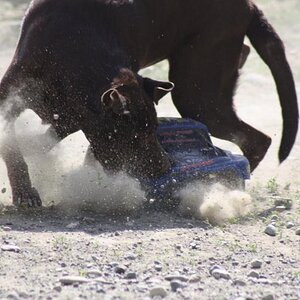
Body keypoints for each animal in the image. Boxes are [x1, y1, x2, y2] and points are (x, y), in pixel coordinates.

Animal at [0, 0, 296, 206]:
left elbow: (36, 143)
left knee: (257, 140)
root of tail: (249, 5)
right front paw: (25, 191)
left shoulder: (73, 118)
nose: (165, 169)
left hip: (198, 96)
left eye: (153, 130)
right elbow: (16, 146)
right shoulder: (12, 99)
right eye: (133, 137)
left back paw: (226, 190)